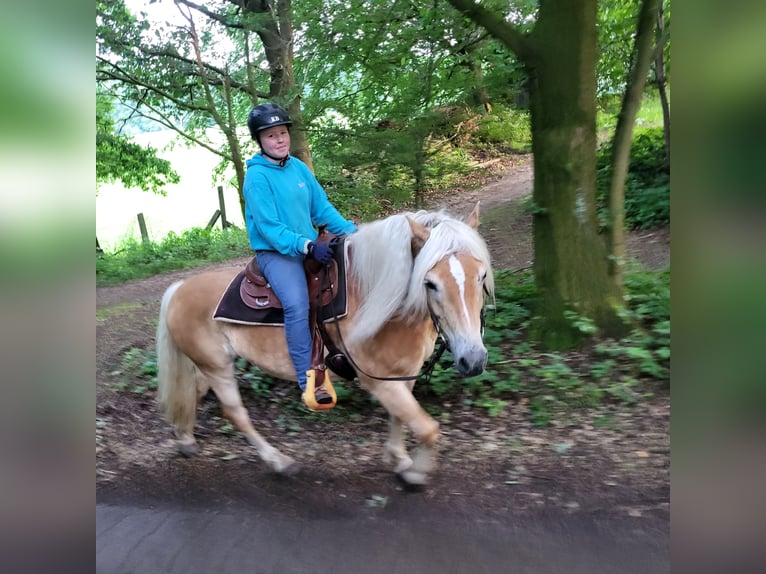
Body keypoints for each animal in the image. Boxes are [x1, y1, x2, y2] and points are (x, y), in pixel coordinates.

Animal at [157, 202, 496, 486]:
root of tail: (178, 289)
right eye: (430, 283)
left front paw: (399, 458)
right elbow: (427, 428)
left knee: (193, 391)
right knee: (235, 413)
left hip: (210, 365)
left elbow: (401, 417)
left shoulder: (402, 376)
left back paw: (185, 438)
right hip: (218, 367)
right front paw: (415, 473)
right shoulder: (380, 382)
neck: (376, 301)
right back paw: (278, 461)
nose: (473, 359)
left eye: (481, 276)